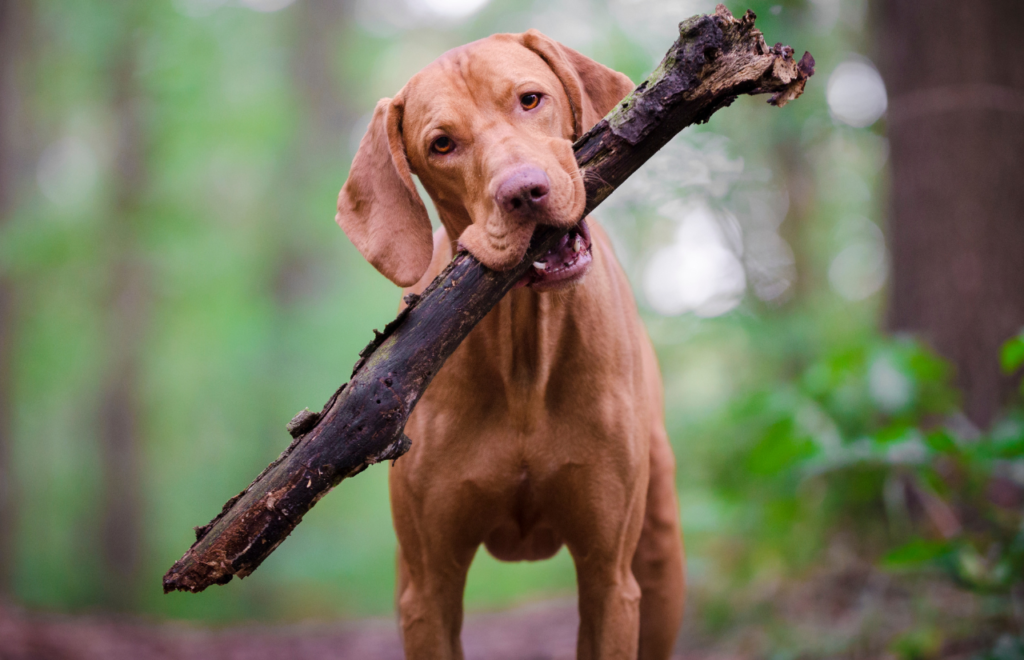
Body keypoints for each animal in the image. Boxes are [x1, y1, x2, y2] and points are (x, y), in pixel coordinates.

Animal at [339, 28, 684, 654]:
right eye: (442, 144)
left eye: (530, 100)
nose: (524, 192)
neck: (523, 344)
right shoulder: (429, 591)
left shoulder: (609, 579)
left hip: (660, 558)